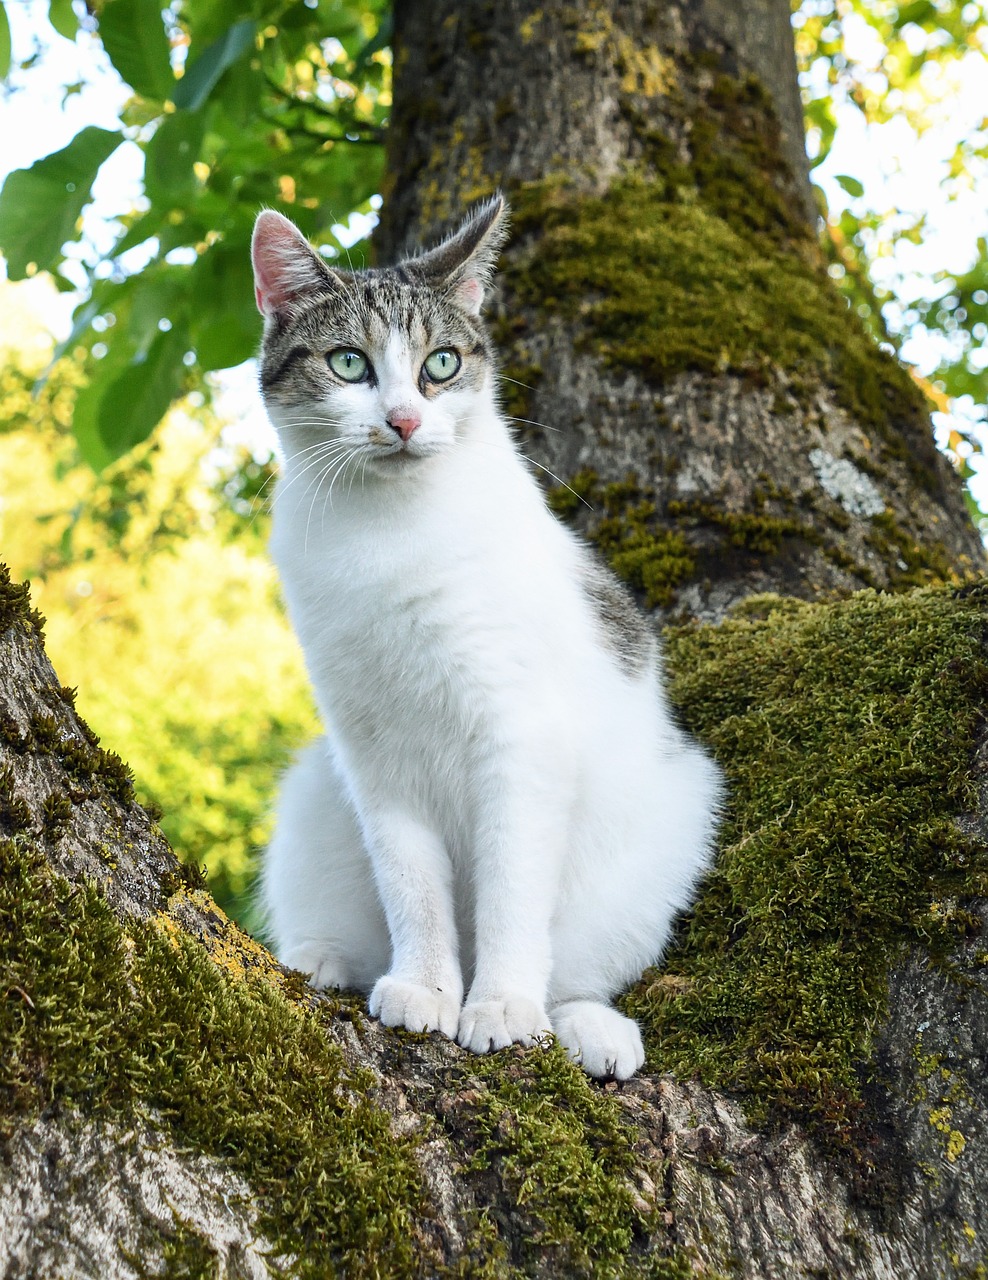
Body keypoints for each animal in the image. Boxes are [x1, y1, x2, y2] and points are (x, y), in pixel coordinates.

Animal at [250, 197, 721, 1080]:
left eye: (439, 364)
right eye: (348, 364)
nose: (403, 419)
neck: (387, 531)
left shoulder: (520, 737)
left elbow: (512, 891)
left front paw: (500, 1005)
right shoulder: (374, 755)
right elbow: (413, 886)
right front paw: (428, 989)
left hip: (670, 820)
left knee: (578, 968)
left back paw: (586, 1026)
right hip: (315, 793)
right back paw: (321, 956)